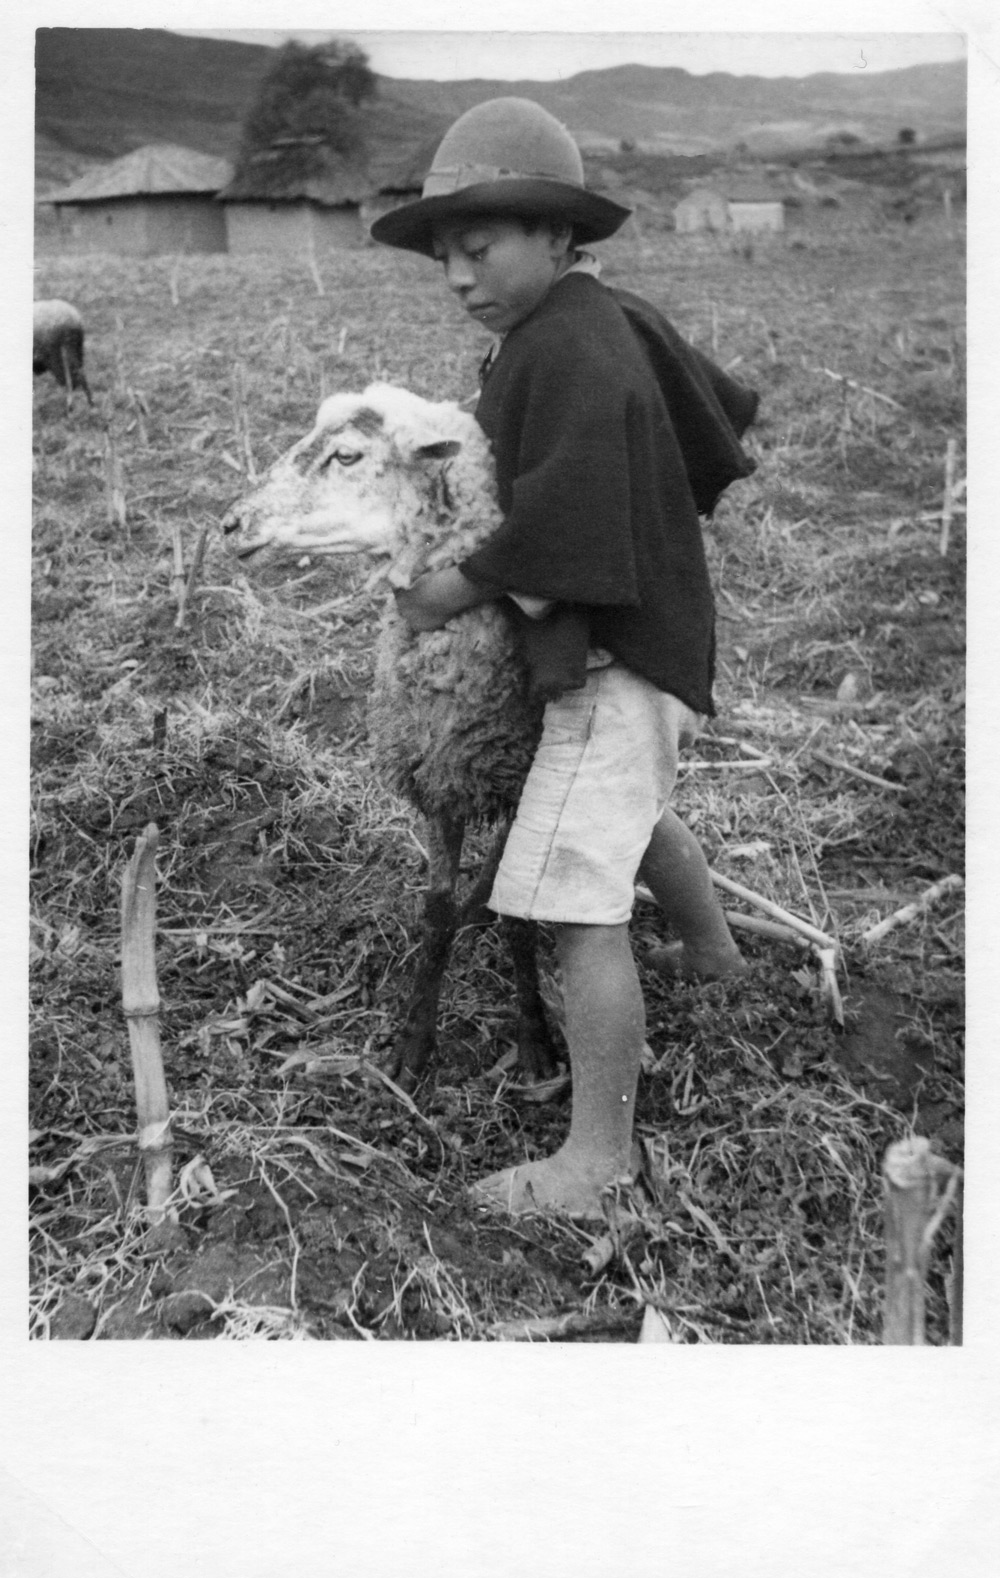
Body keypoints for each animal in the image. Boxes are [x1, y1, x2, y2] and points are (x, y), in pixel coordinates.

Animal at [219, 388, 561, 1091]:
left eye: (348, 455)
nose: (231, 524)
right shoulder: (438, 780)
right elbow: (435, 910)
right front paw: (414, 1041)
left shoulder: (522, 784)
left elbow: (521, 915)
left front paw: (535, 1038)